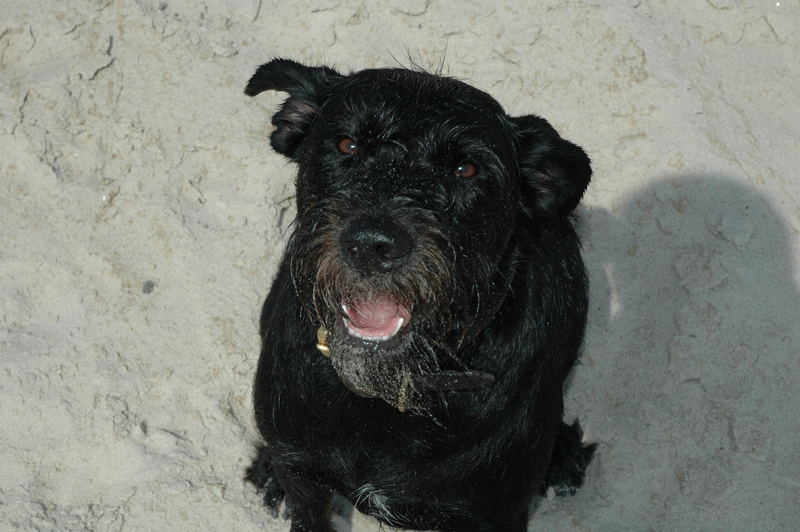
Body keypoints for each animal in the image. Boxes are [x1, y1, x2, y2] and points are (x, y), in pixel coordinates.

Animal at [244, 59, 592, 532]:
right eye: (347, 144)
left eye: (466, 170)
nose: (372, 244)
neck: (387, 395)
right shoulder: (302, 473)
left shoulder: (492, 515)